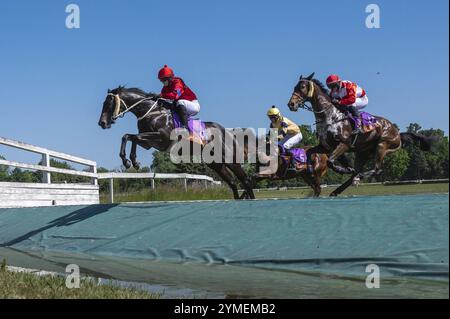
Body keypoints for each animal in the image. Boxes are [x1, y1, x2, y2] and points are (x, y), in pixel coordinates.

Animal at [98, 86, 255, 199]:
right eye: (104, 103)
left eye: (109, 103)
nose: (102, 123)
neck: (152, 113)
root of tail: (228, 133)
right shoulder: (149, 143)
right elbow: (129, 137)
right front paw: (131, 161)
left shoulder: (161, 138)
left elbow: (131, 137)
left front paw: (129, 161)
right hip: (216, 164)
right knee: (233, 182)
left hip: (230, 159)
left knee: (246, 180)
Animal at [288, 73, 432, 196]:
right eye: (295, 87)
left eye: (302, 87)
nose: (291, 104)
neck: (329, 116)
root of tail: (397, 132)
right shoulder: (326, 146)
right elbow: (310, 153)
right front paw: (310, 170)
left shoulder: (344, 144)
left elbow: (330, 161)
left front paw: (342, 169)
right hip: (362, 152)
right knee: (358, 171)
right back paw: (338, 189)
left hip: (382, 145)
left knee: (376, 169)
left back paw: (358, 177)